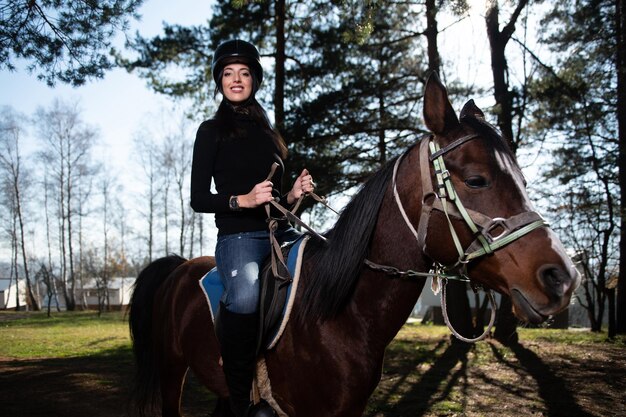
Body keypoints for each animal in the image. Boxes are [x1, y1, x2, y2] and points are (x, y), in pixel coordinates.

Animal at [128, 75, 580, 416]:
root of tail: (178, 267)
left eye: (523, 180)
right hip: (172, 372)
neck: (336, 313)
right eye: (475, 179)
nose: (562, 278)